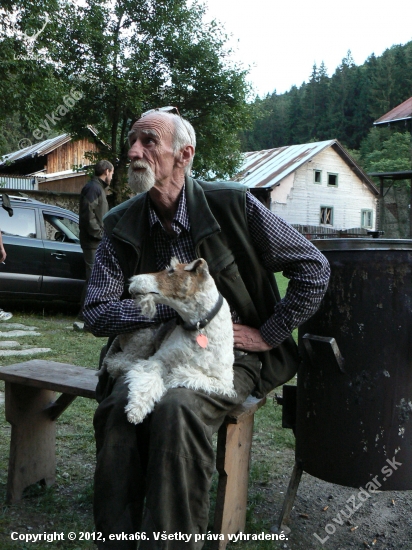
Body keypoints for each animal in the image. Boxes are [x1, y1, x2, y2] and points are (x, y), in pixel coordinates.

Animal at [102, 258, 235, 426]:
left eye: (171, 270)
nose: (132, 281)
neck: (199, 327)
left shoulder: (223, 382)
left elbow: (190, 375)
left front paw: (172, 377)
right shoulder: (158, 360)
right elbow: (149, 378)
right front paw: (136, 411)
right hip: (144, 338)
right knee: (117, 361)